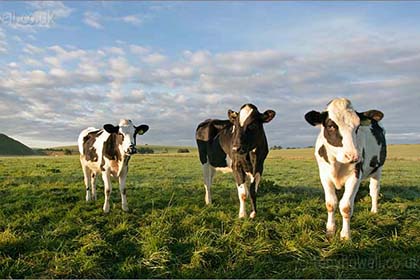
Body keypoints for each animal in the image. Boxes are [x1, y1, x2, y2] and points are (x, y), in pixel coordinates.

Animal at [304, 97, 386, 240]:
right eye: (331, 126)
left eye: (358, 127)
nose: (353, 156)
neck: (337, 163)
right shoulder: (324, 176)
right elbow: (331, 203)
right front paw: (330, 230)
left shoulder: (355, 176)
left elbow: (346, 207)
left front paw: (345, 235)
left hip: (377, 170)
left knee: (374, 191)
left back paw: (374, 211)